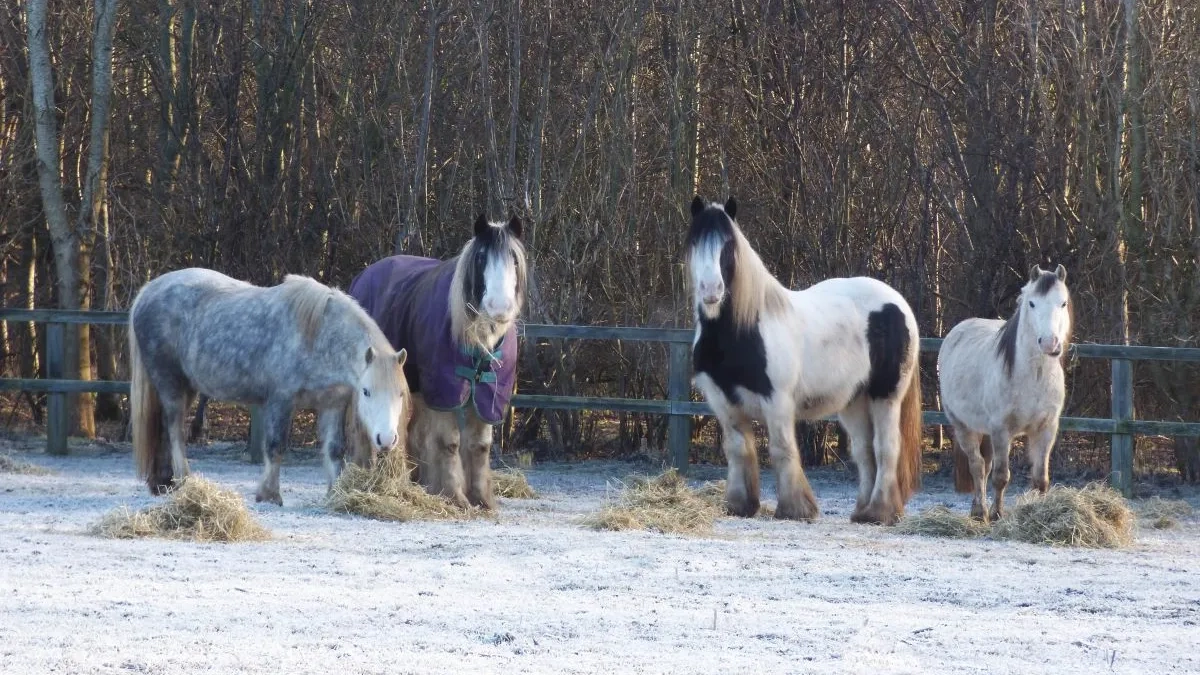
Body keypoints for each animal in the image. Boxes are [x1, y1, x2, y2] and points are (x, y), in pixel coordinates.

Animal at [128, 269, 409, 506]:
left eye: (400, 393)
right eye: (366, 391)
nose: (386, 440)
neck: (319, 335)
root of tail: (148, 291)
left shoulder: (332, 404)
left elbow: (334, 449)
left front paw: (335, 492)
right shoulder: (281, 400)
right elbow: (275, 446)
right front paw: (269, 494)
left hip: (187, 387)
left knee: (165, 429)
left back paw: (164, 483)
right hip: (171, 384)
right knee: (175, 430)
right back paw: (184, 480)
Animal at [347, 214, 527, 510]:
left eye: (514, 259)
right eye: (480, 258)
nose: (499, 307)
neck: (478, 339)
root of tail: (364, 275)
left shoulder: (486, 397)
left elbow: (480, 445)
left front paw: (481, 499)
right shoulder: (443, 393)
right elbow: (449, 443)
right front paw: (454, 495)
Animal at [686, 196, 924, 525]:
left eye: (728, 245)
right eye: (695, 241)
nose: (711, 290)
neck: (741, 330)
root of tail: (898, 303)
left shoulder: (777, 401)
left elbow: (782, 450)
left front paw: (795, 509)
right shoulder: (723, 402)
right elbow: (737, 450)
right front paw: (739, 505)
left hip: (885, 397)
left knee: (886, 449)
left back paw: (880, 512)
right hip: (854, 401)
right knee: (864, 452)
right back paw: (861, 511)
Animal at [939, 264, 1073, 521]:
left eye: (1063, 303)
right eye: (1032, 303)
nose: (1049, 343)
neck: (1034, 376)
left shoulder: (1046, 429)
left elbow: (1041, 479)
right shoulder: (1002, 429)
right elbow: (1001, 476)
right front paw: (997, 514)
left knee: (986, 465)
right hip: (963, 426)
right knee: (978, 466)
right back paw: (980, 511)